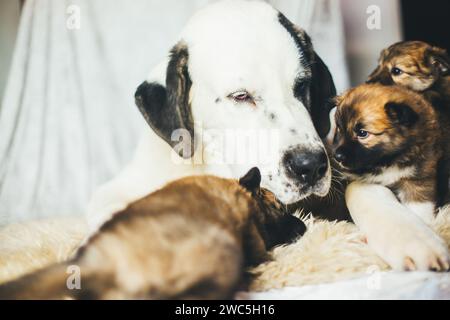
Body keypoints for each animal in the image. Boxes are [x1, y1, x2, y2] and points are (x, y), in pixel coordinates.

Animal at [0, 168, 306, 300]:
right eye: (279, 208)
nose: (304, 227)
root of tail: (97, 263)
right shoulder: (251, 232)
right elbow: (263, 253)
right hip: (219, 259)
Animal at [332, 84, 444, 222]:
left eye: (362, 133)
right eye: (339, 129)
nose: (337, 156)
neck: (387, 160)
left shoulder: (418, 179)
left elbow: (419, 207)